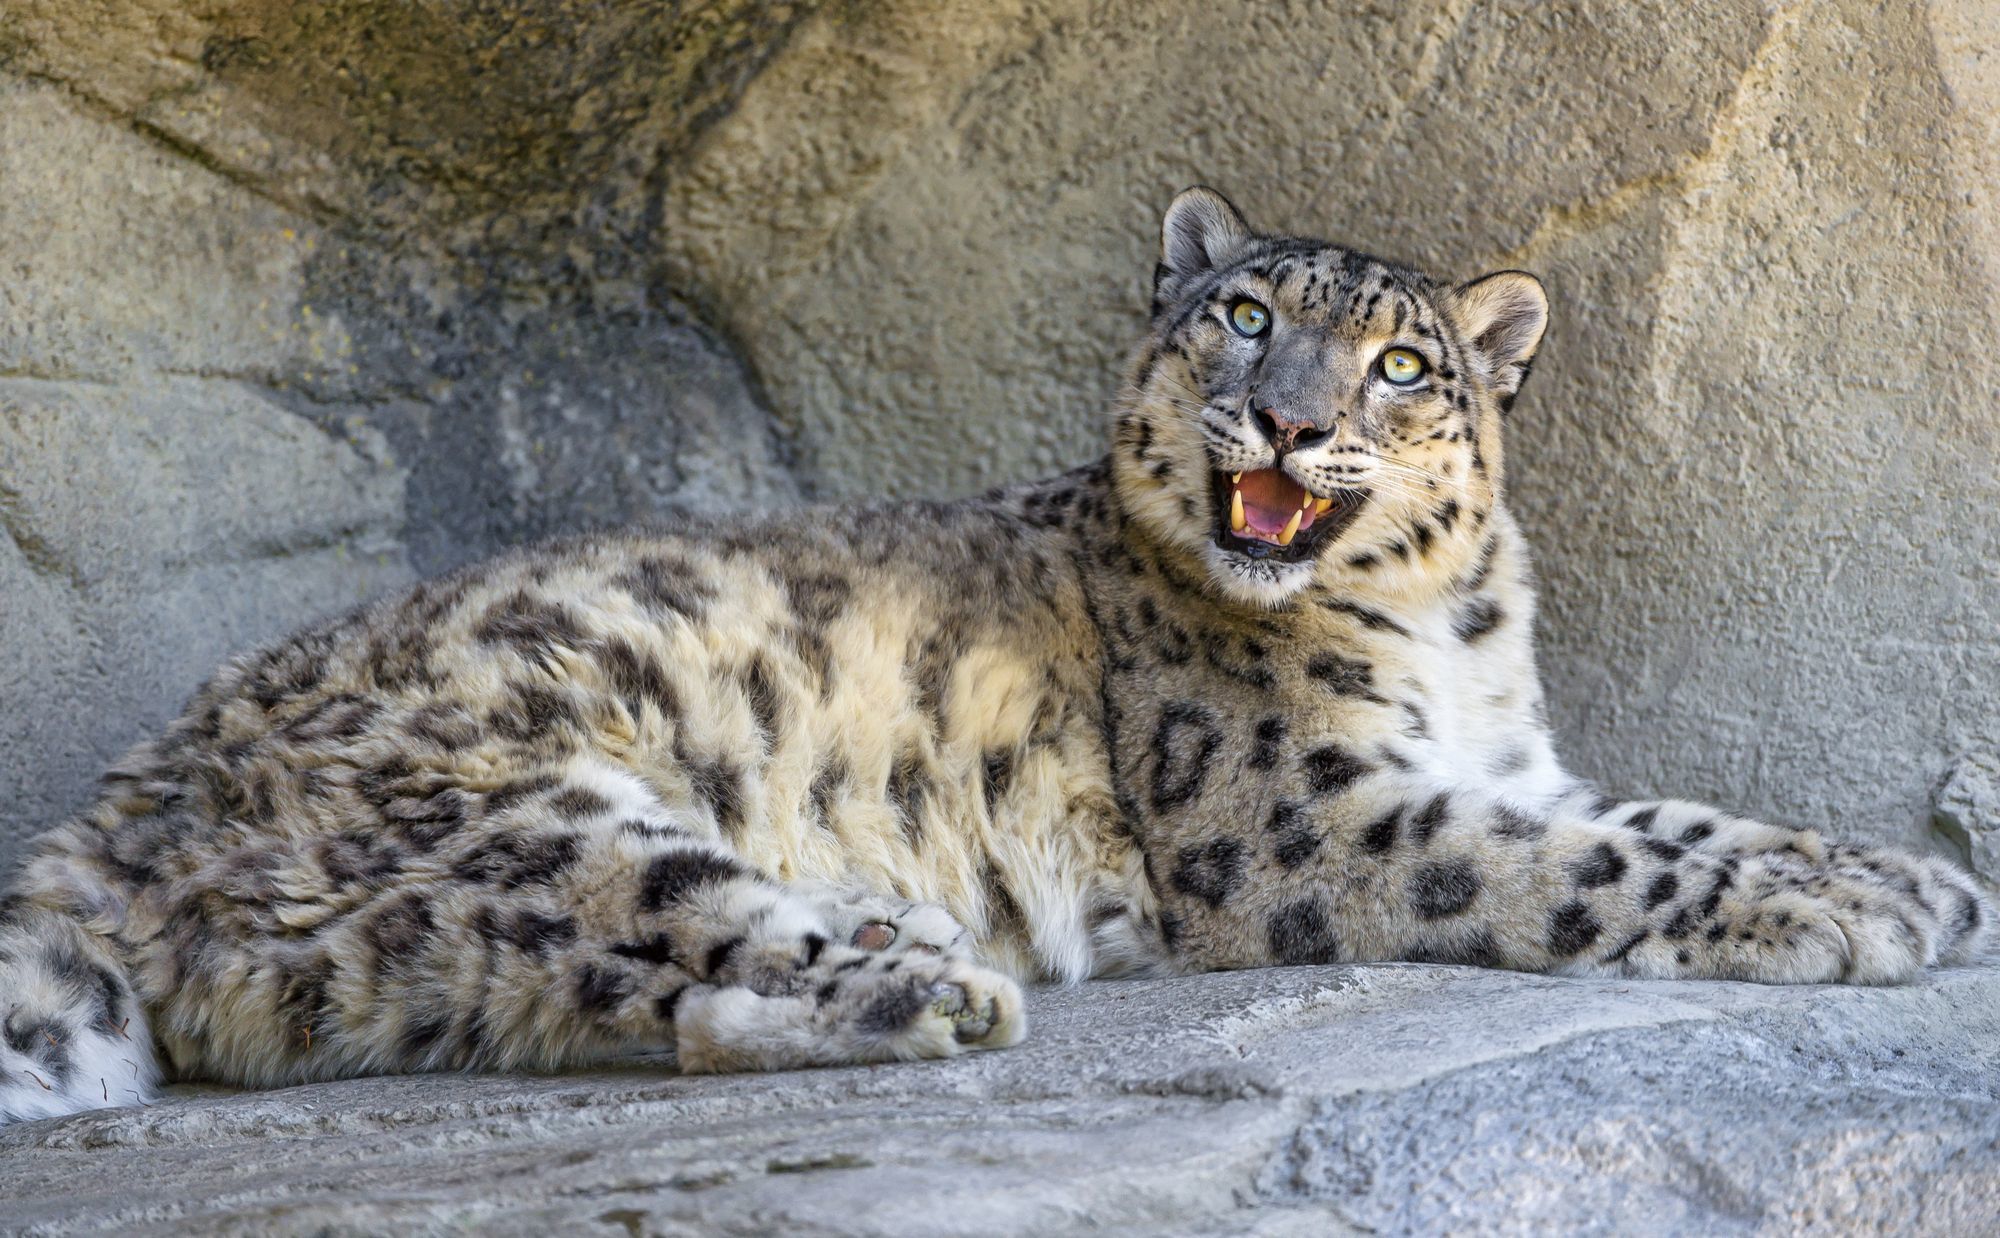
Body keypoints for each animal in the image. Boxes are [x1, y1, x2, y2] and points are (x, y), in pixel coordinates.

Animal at [7, 189, 1992, 1128]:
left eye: (1402, 364)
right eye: (1243, 313)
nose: (1283, 419)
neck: (1457, 640)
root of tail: (118, 807)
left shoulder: (1505, 758)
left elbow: (1663, 814)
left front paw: (1890, 872)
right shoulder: (1310, 821)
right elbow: (1580, 859)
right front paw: (1852, 906)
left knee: (593, 1000)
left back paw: (906, 954)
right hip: (522, 808)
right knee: (671, 952)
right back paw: (925, 979)